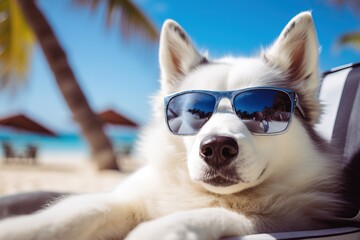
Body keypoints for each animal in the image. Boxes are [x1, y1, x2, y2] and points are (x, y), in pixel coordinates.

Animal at [0, 11, 344, 240]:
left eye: (257, 111)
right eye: (195, 111)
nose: (216, 148)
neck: (203, 193)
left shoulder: (284, 220)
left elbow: (212, 215)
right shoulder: (124, 199)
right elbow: (79, 211)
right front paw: (22, 228)